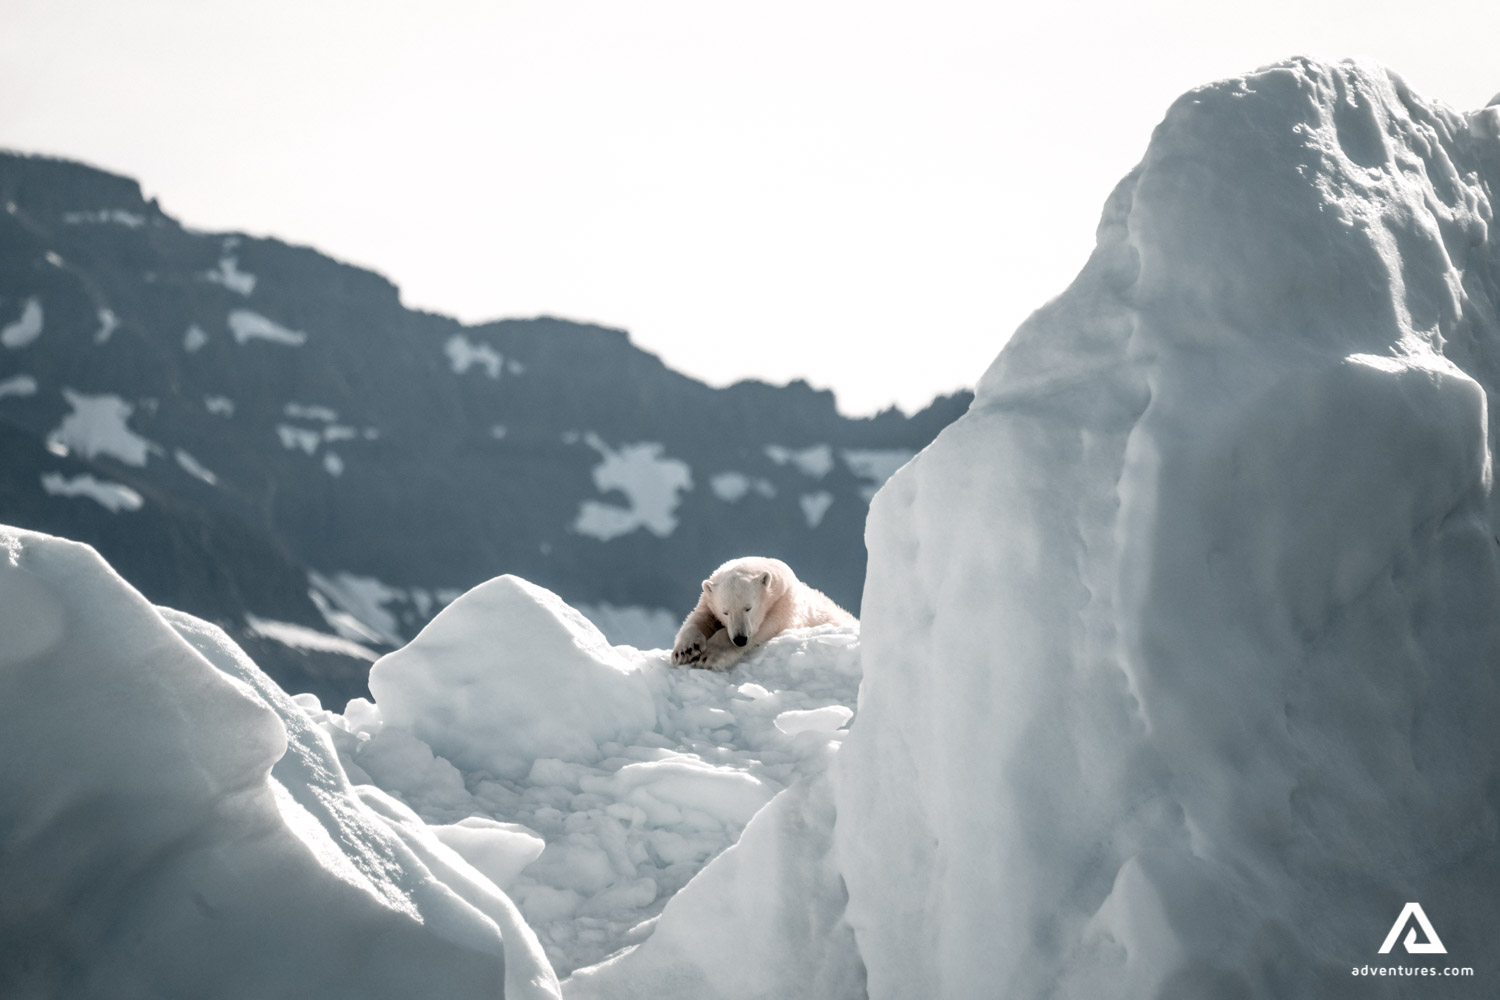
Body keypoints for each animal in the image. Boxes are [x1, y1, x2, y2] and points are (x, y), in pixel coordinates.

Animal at [670, 556, 856, 671]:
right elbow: (698, 618)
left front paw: (708, 656)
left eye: (748, 607)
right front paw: (686, 650)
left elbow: (763, 628)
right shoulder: (708, 601)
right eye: (725, 612)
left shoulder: (783, 606)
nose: (740, 639)